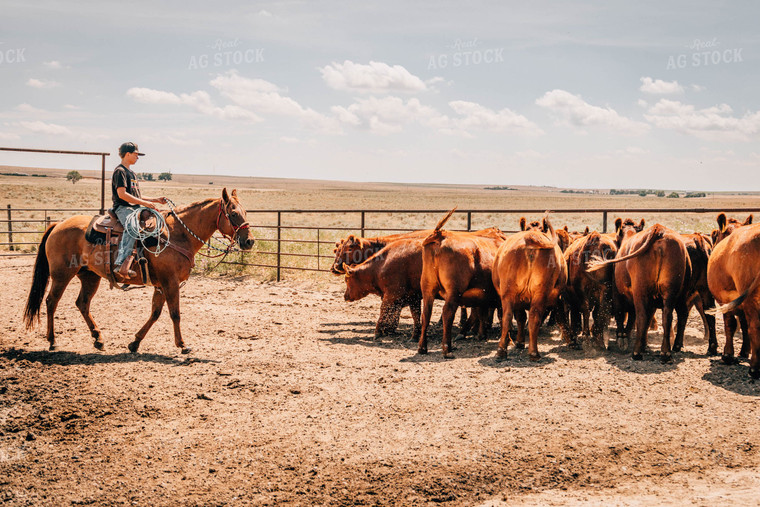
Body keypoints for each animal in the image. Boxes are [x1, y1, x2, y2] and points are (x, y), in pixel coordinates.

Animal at [23, 189, 255, 356]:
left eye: (245, 212)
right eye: (233, 213)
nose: (249, 241)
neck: (177, 235)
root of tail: (58, 224)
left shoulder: (161, 285)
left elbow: (155, 313)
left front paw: (134, 343)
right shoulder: (170, 282)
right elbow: (175, 313)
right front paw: (182, 345)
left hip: (89, 276)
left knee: (82, 303)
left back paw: (98, 339)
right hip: (62, 274)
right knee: (51, 301)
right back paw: (53, 341)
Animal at [416, 208, 504, 360]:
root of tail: (440, 235)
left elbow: (480, 312)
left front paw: (480, 334)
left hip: (428, 289)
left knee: (426, 314)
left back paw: (422, 347)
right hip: (454, 292)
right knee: (447, 313)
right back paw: (447, 349)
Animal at [490, 214, 568, 362]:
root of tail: (531, 237)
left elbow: (521, 318)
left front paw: (520, 341)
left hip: (511, 294)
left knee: (510, 318)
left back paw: (505, 351)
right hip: (535, 293)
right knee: (530, 318)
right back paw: (530, 352)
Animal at [592, 221, 692, 362]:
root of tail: (659, 230)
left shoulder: (617, 293)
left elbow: (622, 314)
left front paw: (622, 338)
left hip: (641, 290)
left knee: (641, 316)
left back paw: (637, 352)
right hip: (676, 292)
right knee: (672, 316)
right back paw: (669, 350)